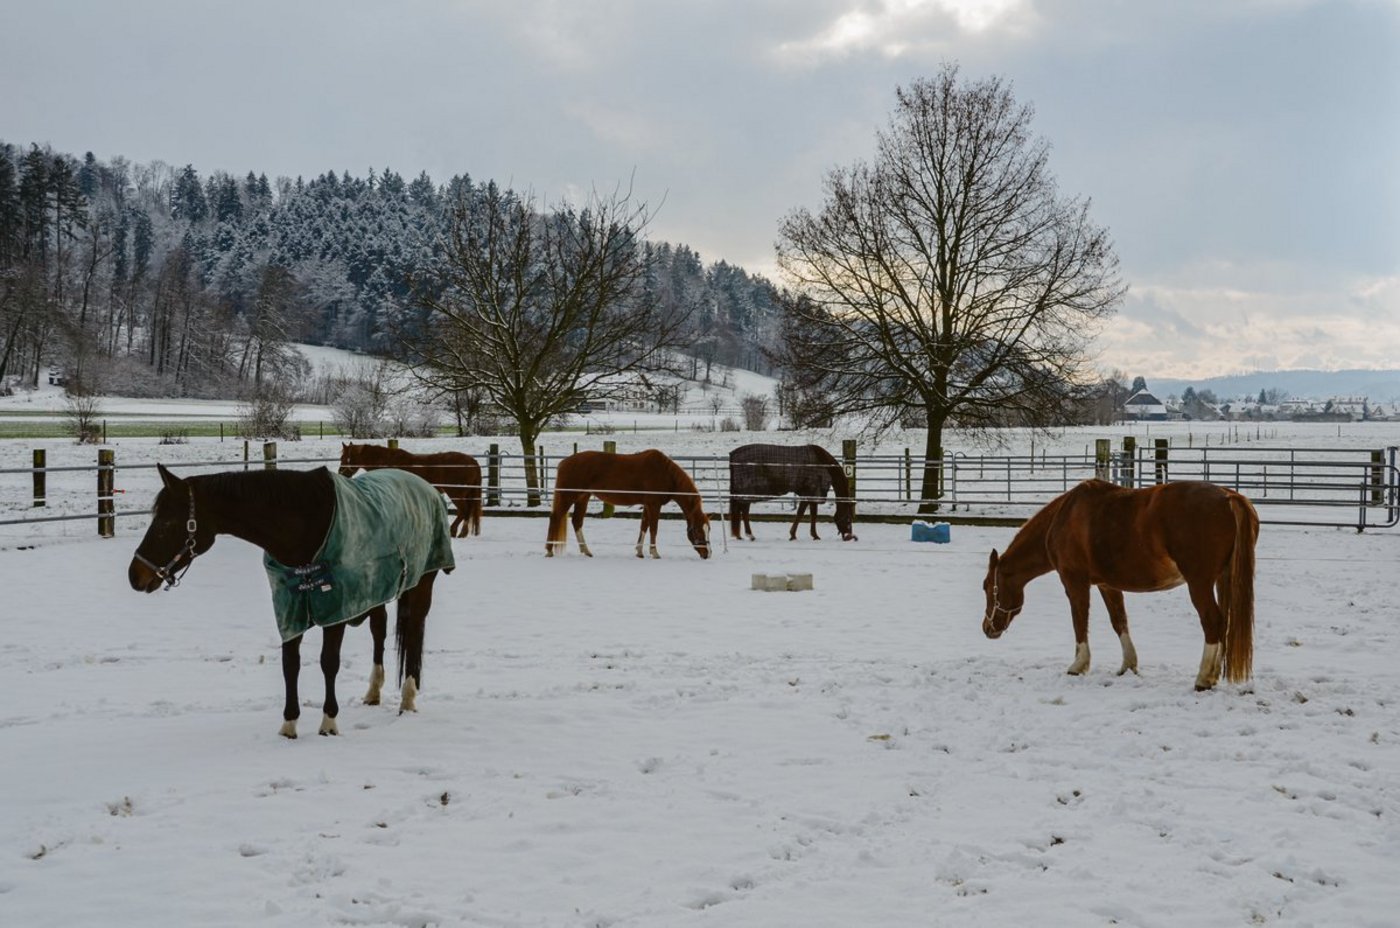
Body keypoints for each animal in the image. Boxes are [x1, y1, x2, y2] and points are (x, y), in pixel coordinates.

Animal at [129, 464, 454, 738]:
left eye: (167, 522)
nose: (135, 576)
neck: (304, 525)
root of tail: (427, 487)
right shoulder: (290, 610)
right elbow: (290, 665)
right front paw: (289, 725)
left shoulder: (335, 609)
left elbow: (329, 662)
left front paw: (329, 722)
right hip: (375, 591)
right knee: (380, 630)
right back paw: (373, 693)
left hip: (420, 584)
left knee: (414, 632)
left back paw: (408, 699)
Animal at [339, 442, 483, 538]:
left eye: (344, 458)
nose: (340, 473)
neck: (387, 462)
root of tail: (472, 461)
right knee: (467, 511)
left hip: (455, 493)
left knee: (464, 511)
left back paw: (455, 531)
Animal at [545, 449, 711, 559]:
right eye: (698, 531)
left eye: (708, 529)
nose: (707, 554)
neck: (666, 474)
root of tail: (564, 463)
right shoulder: (654, 504)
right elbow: (653, 529)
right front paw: (655, 553)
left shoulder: (647, 505)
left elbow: (644, 526)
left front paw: (639, 552)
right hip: (568, 497)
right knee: (555, 517)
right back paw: (549, 550)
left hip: (582, 498)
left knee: (577, 522)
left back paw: (586, 551)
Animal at [728, 443, 857, 542]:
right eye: (848, 518)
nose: (850, 537)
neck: (822, 465)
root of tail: (734, 454)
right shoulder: (809, 493)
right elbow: (802, 514)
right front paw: (795, 535)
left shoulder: (811, 494)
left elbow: (810, 514)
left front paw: (812, 535)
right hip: (747, 492)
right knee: (744, 511)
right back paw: (749, 535)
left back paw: (741, 535)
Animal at [981, 479, 1258, 691]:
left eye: (987, 587)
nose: (987, 628)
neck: (1063, 518)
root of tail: (1228, 497)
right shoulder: (1108, 585)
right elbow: (1119, 621)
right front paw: (1128, 664)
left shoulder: (1075, 581)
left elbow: (1079, 620)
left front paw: (1078, 665)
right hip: (1222, 579)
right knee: (1224, 623)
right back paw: (1213, 674)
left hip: (1199, 583)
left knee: (1212, 622)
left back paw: (1203, 679)